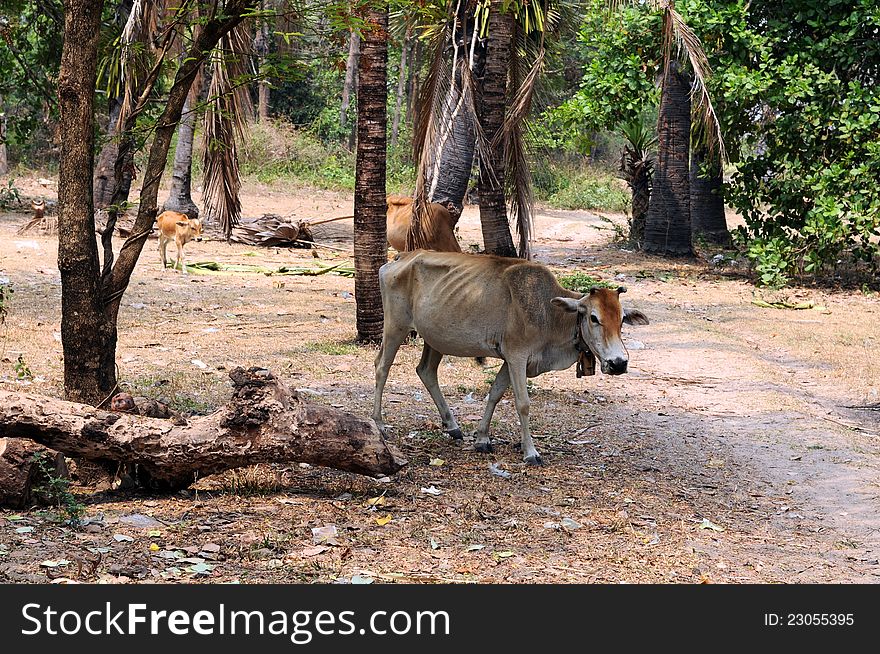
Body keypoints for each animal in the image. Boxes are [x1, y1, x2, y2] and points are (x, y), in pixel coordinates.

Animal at [372, 251, 648, 466]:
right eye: (593, 317)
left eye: (621, 319)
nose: (618, 363)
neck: (549, 312)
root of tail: (399, 258)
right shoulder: (517, 356)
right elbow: (522, 404)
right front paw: (531, 452)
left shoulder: (510, 360)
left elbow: (495, 393)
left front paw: (482, 438)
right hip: (395, 327)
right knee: (381, 367)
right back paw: (379, 424)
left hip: (435, 339)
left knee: (426, 371)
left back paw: (452, 425)